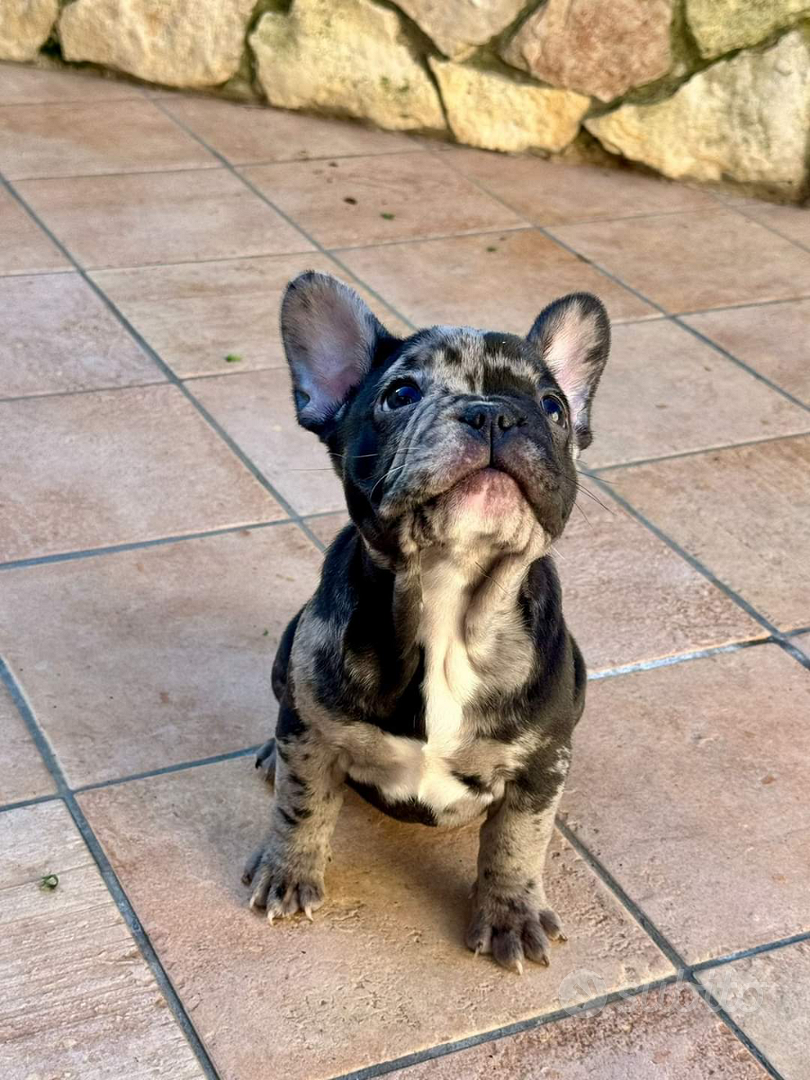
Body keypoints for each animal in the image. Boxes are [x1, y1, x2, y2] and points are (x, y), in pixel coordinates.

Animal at [240, 267, 609, 972]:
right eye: (401, 394)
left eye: (553, 406)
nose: (493, 412)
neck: (450, 596)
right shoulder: (312, 730)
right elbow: (303, 804)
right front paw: (289, 869)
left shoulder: (542, 764)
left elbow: (517, 840)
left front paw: (510, 912)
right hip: (282, 662)